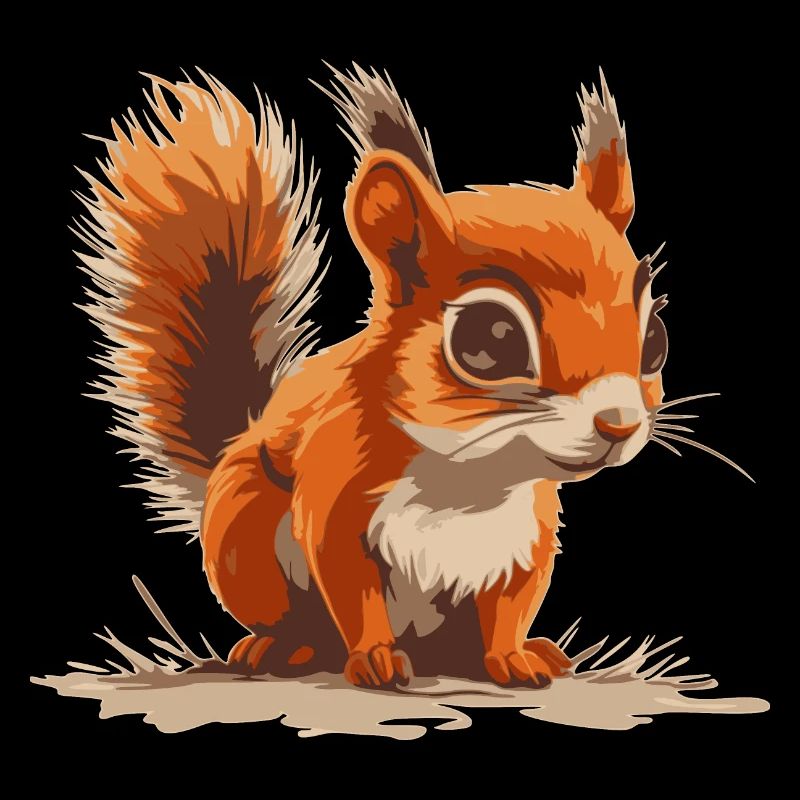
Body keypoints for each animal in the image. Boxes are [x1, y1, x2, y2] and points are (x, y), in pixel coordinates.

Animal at [74, 64, 683, 689]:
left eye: (655, 337)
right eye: (491, 340)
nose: (619, 423)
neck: (470, 477)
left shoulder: (526, 535)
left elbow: (511, 604)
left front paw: (513, 655)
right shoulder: (335, 503)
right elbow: (354, 590)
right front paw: (374, 657)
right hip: (244, 530)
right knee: (298, 620)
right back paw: (282, 647)